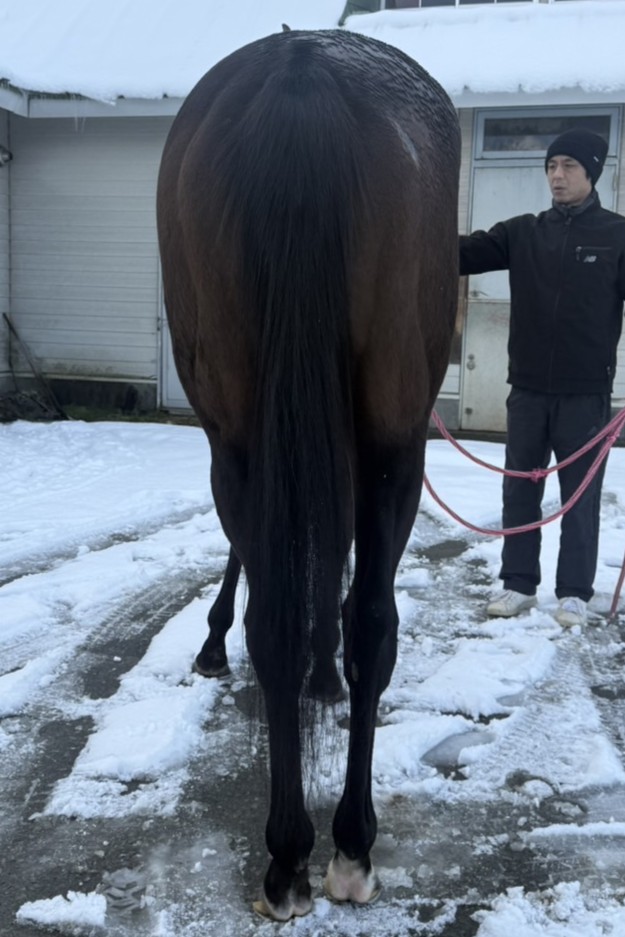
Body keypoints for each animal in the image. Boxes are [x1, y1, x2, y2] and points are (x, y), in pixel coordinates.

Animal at [157, 28, 460, 921]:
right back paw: (345, 842)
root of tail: (303, 78)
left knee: (286, 620)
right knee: (367, 622)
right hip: (393, 447)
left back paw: (293, 850)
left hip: (244, 437)